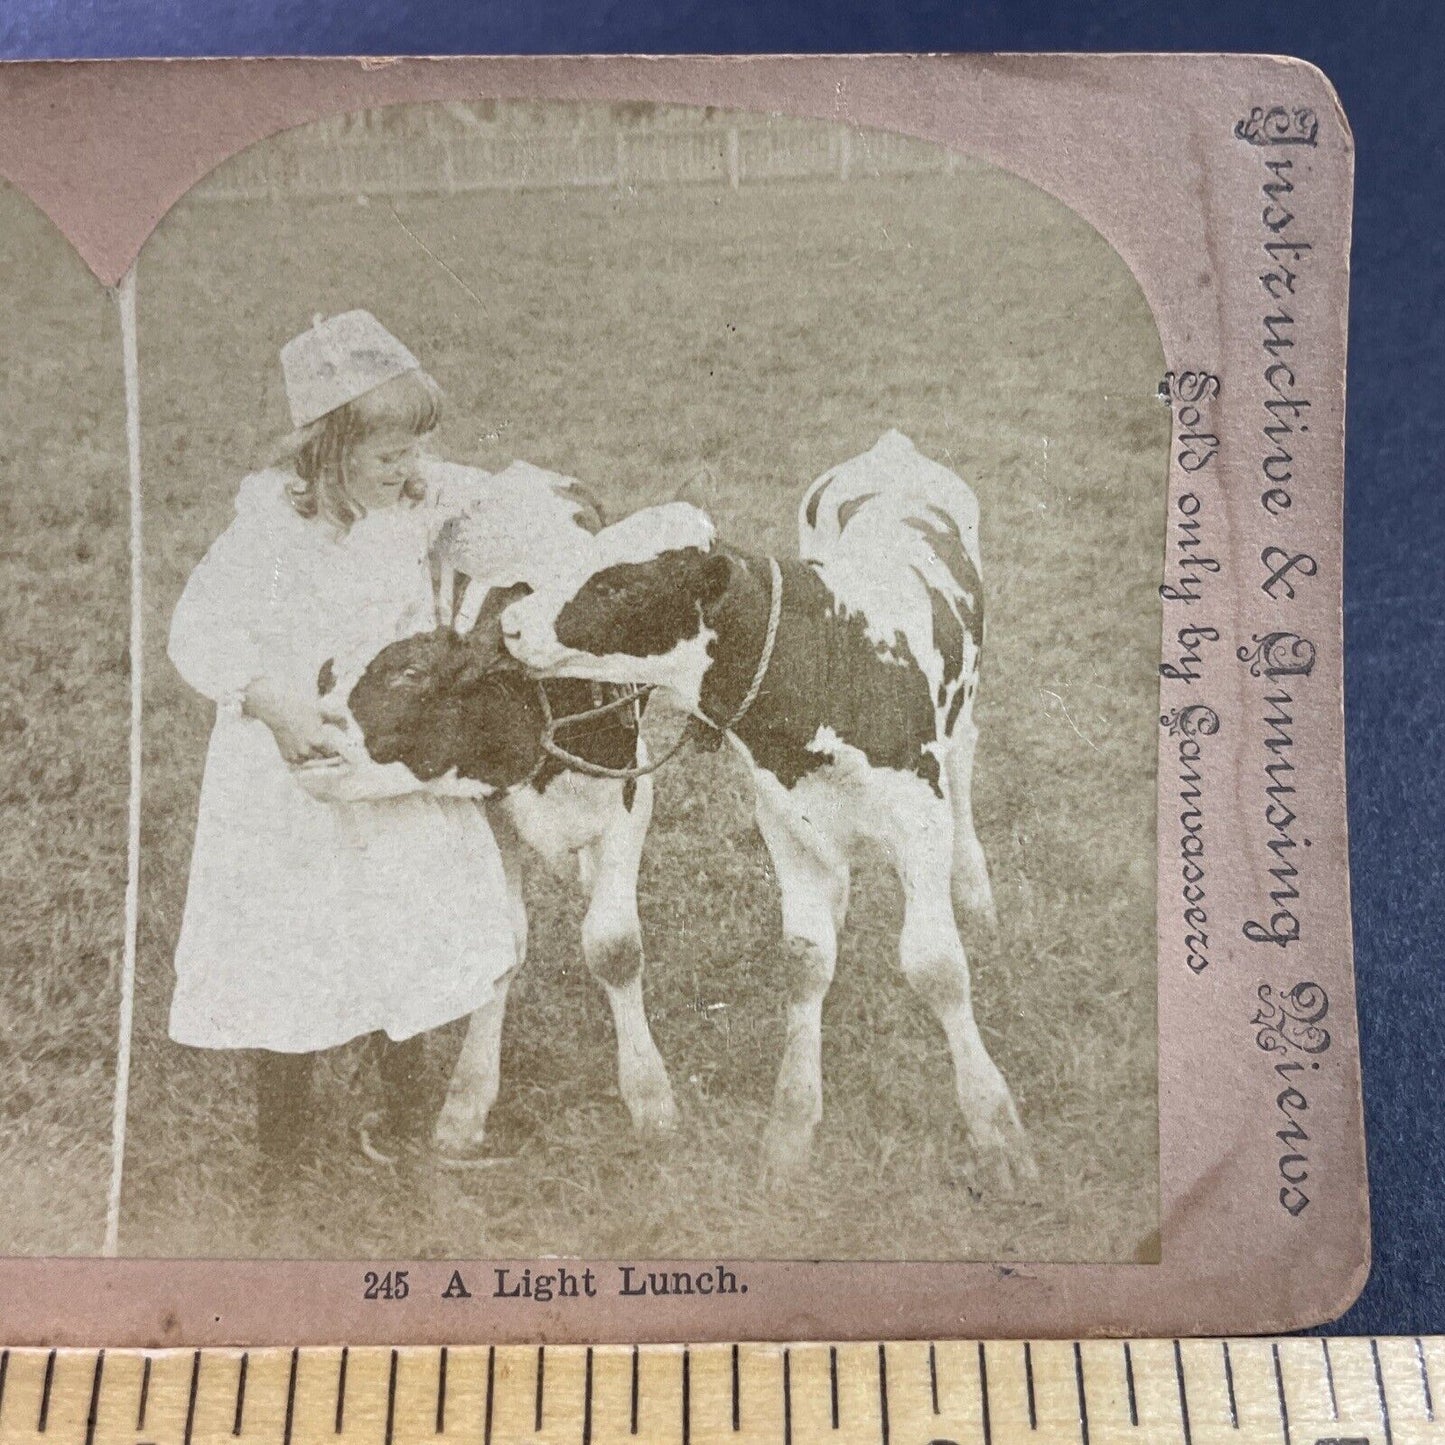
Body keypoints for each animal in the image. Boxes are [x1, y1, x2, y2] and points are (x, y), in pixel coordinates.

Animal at [304, 462, 676, 1161]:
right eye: (328, 673)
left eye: (411, 674)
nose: (307, 739)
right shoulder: (489, 811)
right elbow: (504, 943)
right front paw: (465, 1102)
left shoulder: (631, 797)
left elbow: (615, 947)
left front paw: (650, 1098)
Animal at [502, 433, 1034, 1190]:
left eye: (619, 585)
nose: (509, 625)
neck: (831, 657)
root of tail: (892, 448)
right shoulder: (782, 817)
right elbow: (806, 959)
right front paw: (791, 1126)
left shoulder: (919, 817)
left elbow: (936, 964)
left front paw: (995, 1126)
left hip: (961, 721)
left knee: (966, 768)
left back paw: (978, 896)